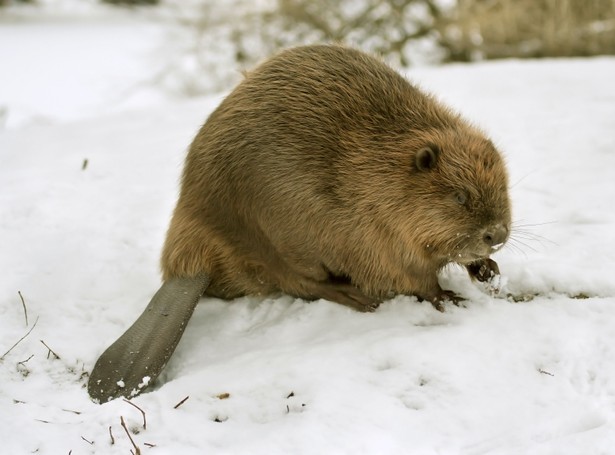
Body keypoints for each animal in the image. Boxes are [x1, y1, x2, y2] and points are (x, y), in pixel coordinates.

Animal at [86, 44, 510, 404]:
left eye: (503, 185)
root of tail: (186, 269)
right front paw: (449, 298)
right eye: (459, 197)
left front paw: (488, 270)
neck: (380, 169)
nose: (498, 234)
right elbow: (411, 276)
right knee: (301, 282)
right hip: (280, 239)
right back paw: (356, 296)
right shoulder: (371, 231)